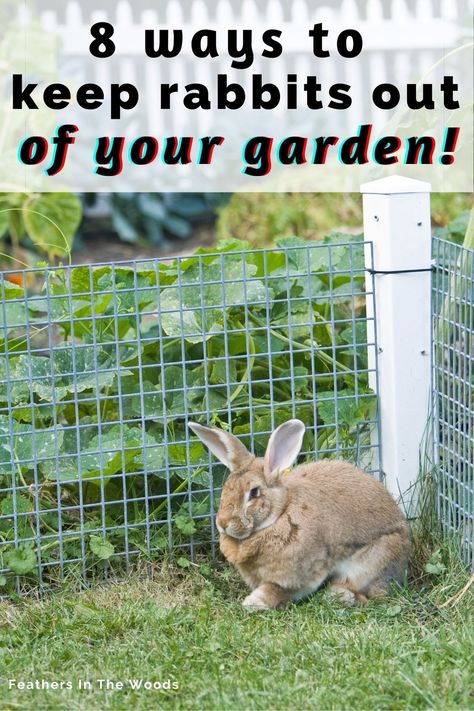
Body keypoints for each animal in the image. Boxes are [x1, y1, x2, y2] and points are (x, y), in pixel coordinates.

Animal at [189, 420, 412, 608]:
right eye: (226, 488)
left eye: (254, 492)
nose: (223, 523)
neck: (279, 515)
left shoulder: (300, 575)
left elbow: (277, 591)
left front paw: (253, 603)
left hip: (370, 563)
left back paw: (339, 596)